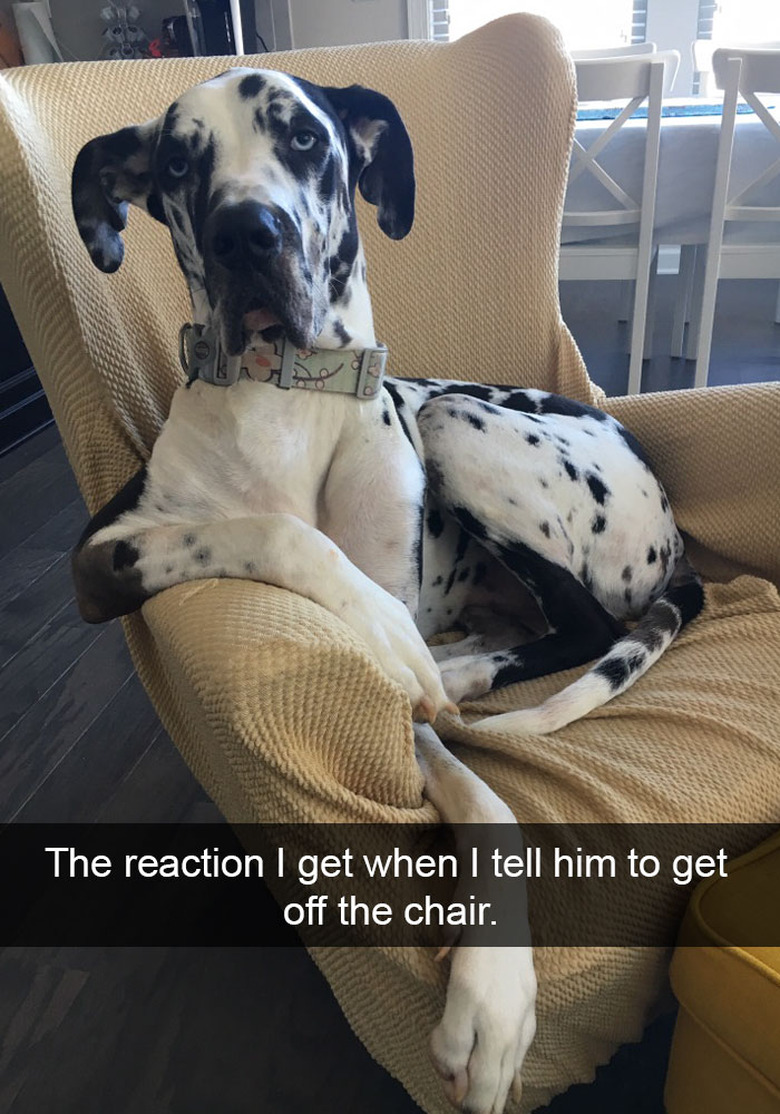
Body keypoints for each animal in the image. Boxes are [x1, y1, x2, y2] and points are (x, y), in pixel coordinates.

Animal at [70, 69, 704, 1114]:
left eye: (304, 138)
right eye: (179, 163)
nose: (249, 234)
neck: (283, 396)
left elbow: (488, 804)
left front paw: (493, 998)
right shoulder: (97, 558)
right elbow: (281, 534)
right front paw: (385, 631)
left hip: (452, 419)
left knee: (580, 623)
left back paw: (471, 669)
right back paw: (460, 659)